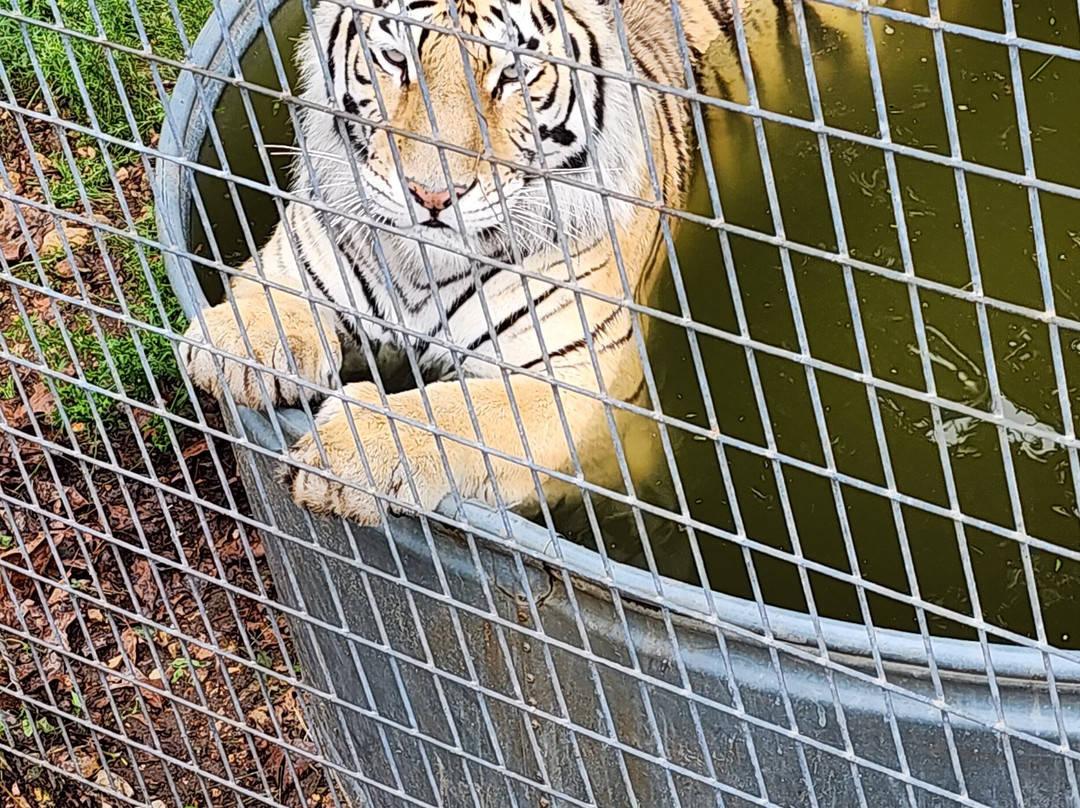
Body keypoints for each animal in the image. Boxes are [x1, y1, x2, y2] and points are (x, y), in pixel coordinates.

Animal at [181, 0, 870, 525]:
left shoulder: (587, 387)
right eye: (396, 59)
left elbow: (464, 413)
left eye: (511, 75)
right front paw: (239, 345)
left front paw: (352, 453)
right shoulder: (302, 247)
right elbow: (272, 290)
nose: (432, 195)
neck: (424, 266)